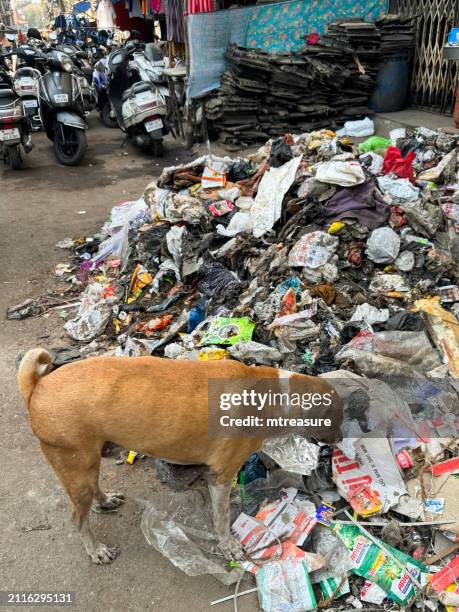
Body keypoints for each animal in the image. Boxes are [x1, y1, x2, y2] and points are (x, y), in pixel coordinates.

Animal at [18, 350, 340, 564]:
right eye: (334, 416)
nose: (337, 443)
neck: (275, 394)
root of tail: (38, 386)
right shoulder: (222, 476)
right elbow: (221, 518)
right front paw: (227, 544)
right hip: (75, 464)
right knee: (78, 518)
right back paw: (95, 549)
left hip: (89, 462)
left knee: (93, 491)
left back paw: (105, 500)